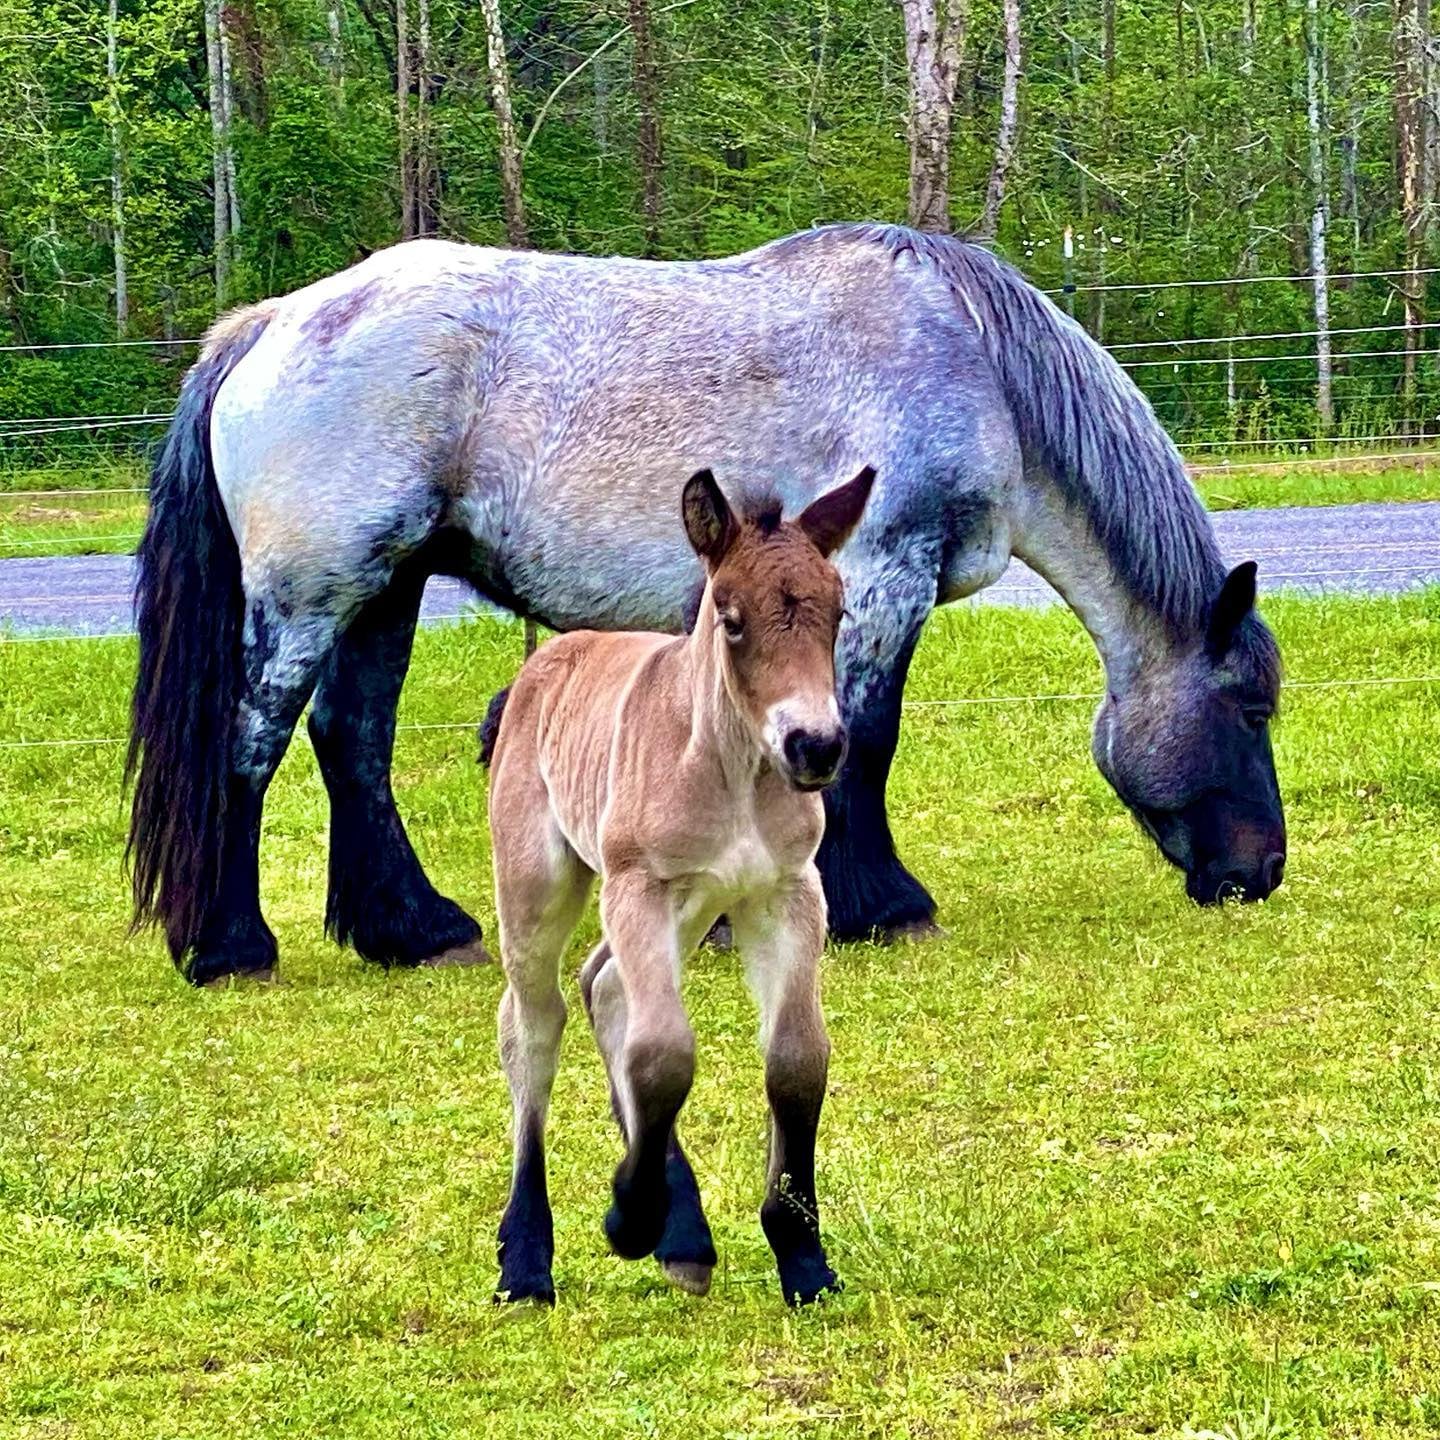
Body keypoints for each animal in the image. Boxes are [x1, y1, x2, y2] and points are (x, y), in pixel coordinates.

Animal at [129, 224, 1290, 990]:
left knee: (353, 742)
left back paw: (410, 930)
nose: (1261, 872)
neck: (976, 368)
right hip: (314, 593)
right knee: (253, 741)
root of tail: (268, 326)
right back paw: (230, 948)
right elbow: (867, 739)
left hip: (387, 587)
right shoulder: (886, 574)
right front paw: (884, 906)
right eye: (1252, 709)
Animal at [480, 463, 875, 1307]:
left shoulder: (786, 893)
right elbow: (664, 1054)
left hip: (695, 907)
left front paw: (802, 1254)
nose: (816, 747)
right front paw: (629, 1218)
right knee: (535, 1020)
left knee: (605, 987)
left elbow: (798, 1058)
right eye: (730, 618)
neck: (734, 771)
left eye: (839, 610)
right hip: (540, 882)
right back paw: (528, 1256)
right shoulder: (639, 887)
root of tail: (544, 661)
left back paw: (684, 1233)